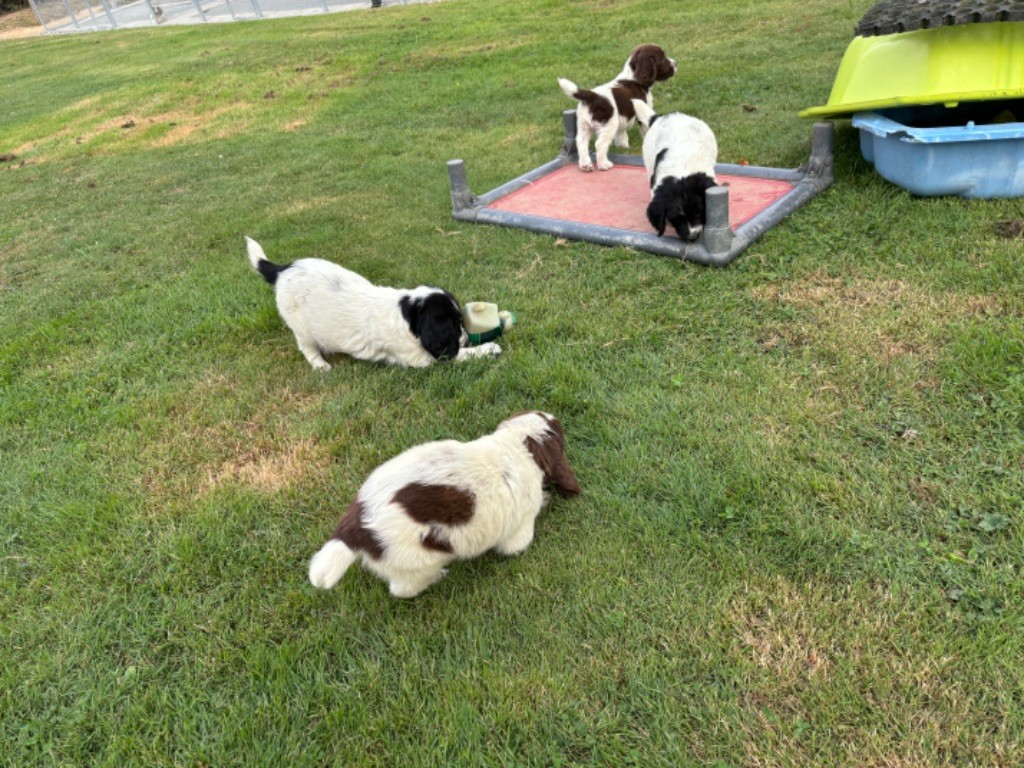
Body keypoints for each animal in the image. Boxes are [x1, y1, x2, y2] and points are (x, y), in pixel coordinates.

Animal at [247, 239, 503, 374]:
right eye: (453, 325)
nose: (466, 339)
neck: (407, 315)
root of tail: (282, 270)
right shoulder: (422, 358)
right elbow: (457, 355)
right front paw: (488, 348)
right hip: (301, 327)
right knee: (307, 348)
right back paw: (321, 365)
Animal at [307, 411, 581, 598]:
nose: (554, 415)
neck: (519, 444)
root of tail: (357, 523)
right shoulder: (519, 530)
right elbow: (518, 543)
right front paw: (546, 499)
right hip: (417, 561)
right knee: (403, 588)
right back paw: (438, 577)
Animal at [557, 44, 675, 174]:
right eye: (663, 58)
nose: (676, 63)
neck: (633, 78)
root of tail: (592, 96)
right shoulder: (642, 112)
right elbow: (646, 129)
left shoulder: (622, 118)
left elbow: (621, 134)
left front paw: (624, 148)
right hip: (609, 124)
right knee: (600, 144)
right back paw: (604, 165)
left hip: (584, 125)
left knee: (581, 142)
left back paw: (585, 165)